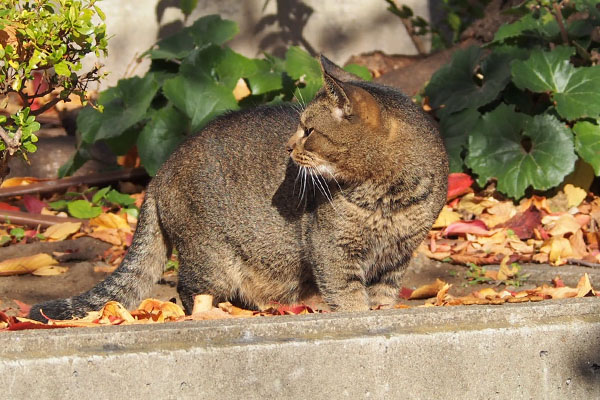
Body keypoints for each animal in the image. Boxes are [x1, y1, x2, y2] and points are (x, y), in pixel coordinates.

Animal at [29, 56, 450, 320]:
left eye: (309, 130)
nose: (289, 146)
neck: (388, 198)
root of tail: (160, 173)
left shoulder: (397, 256)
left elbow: (382, 297)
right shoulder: (332, 249)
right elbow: (348, 297)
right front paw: (358, 317)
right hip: (210, 260)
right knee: (188, 292)